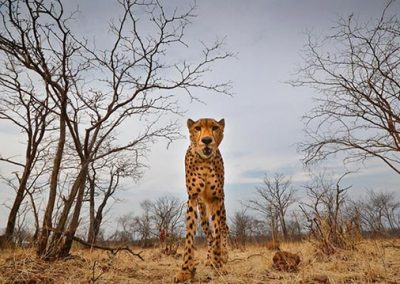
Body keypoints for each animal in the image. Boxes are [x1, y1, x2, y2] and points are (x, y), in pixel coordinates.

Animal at [174, 117, 228, 282]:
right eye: (197, 128)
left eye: (215, 127)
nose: (206, 140)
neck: (204, 161)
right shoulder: (192, 198)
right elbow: (190, 235)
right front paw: (185, 270)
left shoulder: (217, 198)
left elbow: (218, 232)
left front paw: (218, 264)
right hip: (203, 212)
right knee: (209, 235)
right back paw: (210, 259)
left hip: (221, 205)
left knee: (224, 228)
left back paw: (223, 256)